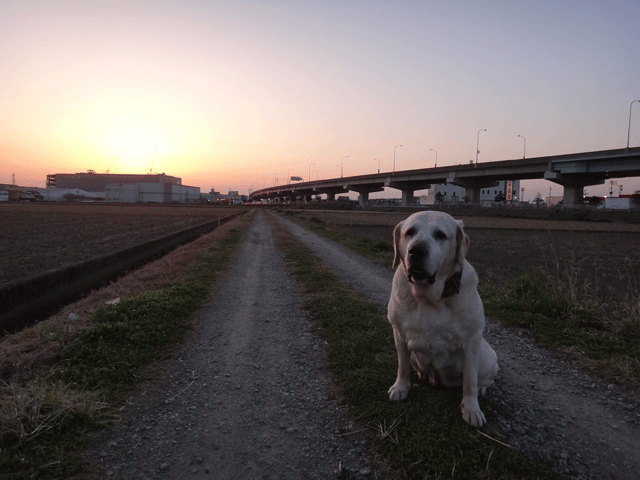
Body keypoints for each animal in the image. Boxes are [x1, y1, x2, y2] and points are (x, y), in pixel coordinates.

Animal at [384, 212, 500, 426]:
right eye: (409, 232)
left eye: (440, 235)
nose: (416, 251)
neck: (429, 298)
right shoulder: (399, 335)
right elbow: (402, 366)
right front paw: (400, 388)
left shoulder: (471, 342)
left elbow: (470, 381)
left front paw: (472, 409)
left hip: (488, 358)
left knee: (482, 378)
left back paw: (482, 388)